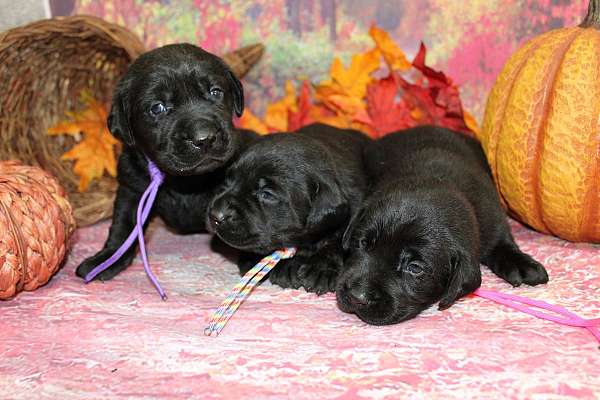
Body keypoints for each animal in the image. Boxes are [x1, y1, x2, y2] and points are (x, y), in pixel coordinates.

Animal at [75, 43, 255, 280]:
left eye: (215, 92)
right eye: (157, 108)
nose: (204, 138)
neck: (185, 181)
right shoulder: (132, 189)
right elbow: (123, 226)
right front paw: (108, 258)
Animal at [336, 126, 552, 326]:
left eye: (415, 268)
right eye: (362, 243)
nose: (357, 296)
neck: (436, 178)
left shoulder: (494, 218)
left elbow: (503, 242)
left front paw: (521, 263)